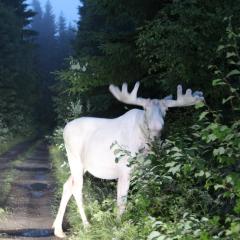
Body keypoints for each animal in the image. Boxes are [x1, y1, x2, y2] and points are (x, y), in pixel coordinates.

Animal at [52, 82, 202, 238]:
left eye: (166, 109)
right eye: (145, 108)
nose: (157, 127)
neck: (144, 144)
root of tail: (64, 129)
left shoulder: (145, 170)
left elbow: (144, 197)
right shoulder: (124, 169)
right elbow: (122, 201)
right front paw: (118, 227)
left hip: (83, 166)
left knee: (67, 185)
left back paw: (58, 229)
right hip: (74, 158)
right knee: (77, 188)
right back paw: (87, 226)